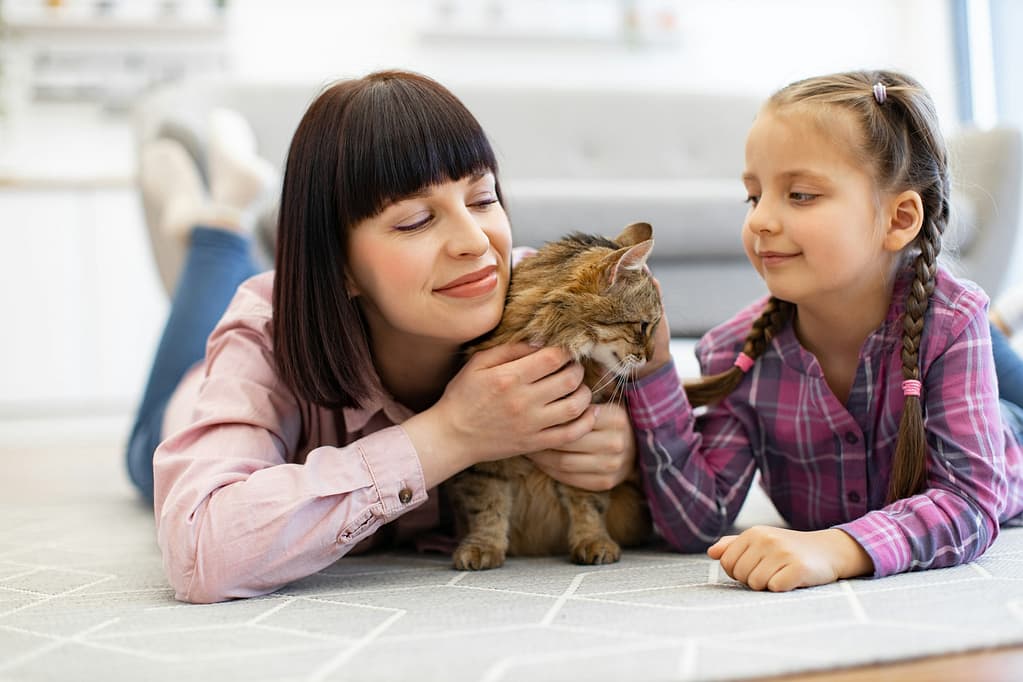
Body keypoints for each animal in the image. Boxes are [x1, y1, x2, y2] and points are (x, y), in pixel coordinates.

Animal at [443, 222, 658, 572]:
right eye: (643, 326)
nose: (651, 358)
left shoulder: (584, 452)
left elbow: (587, 505)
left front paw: (593, 542)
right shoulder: (485, 453)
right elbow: (487, 506)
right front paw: (483, 546)